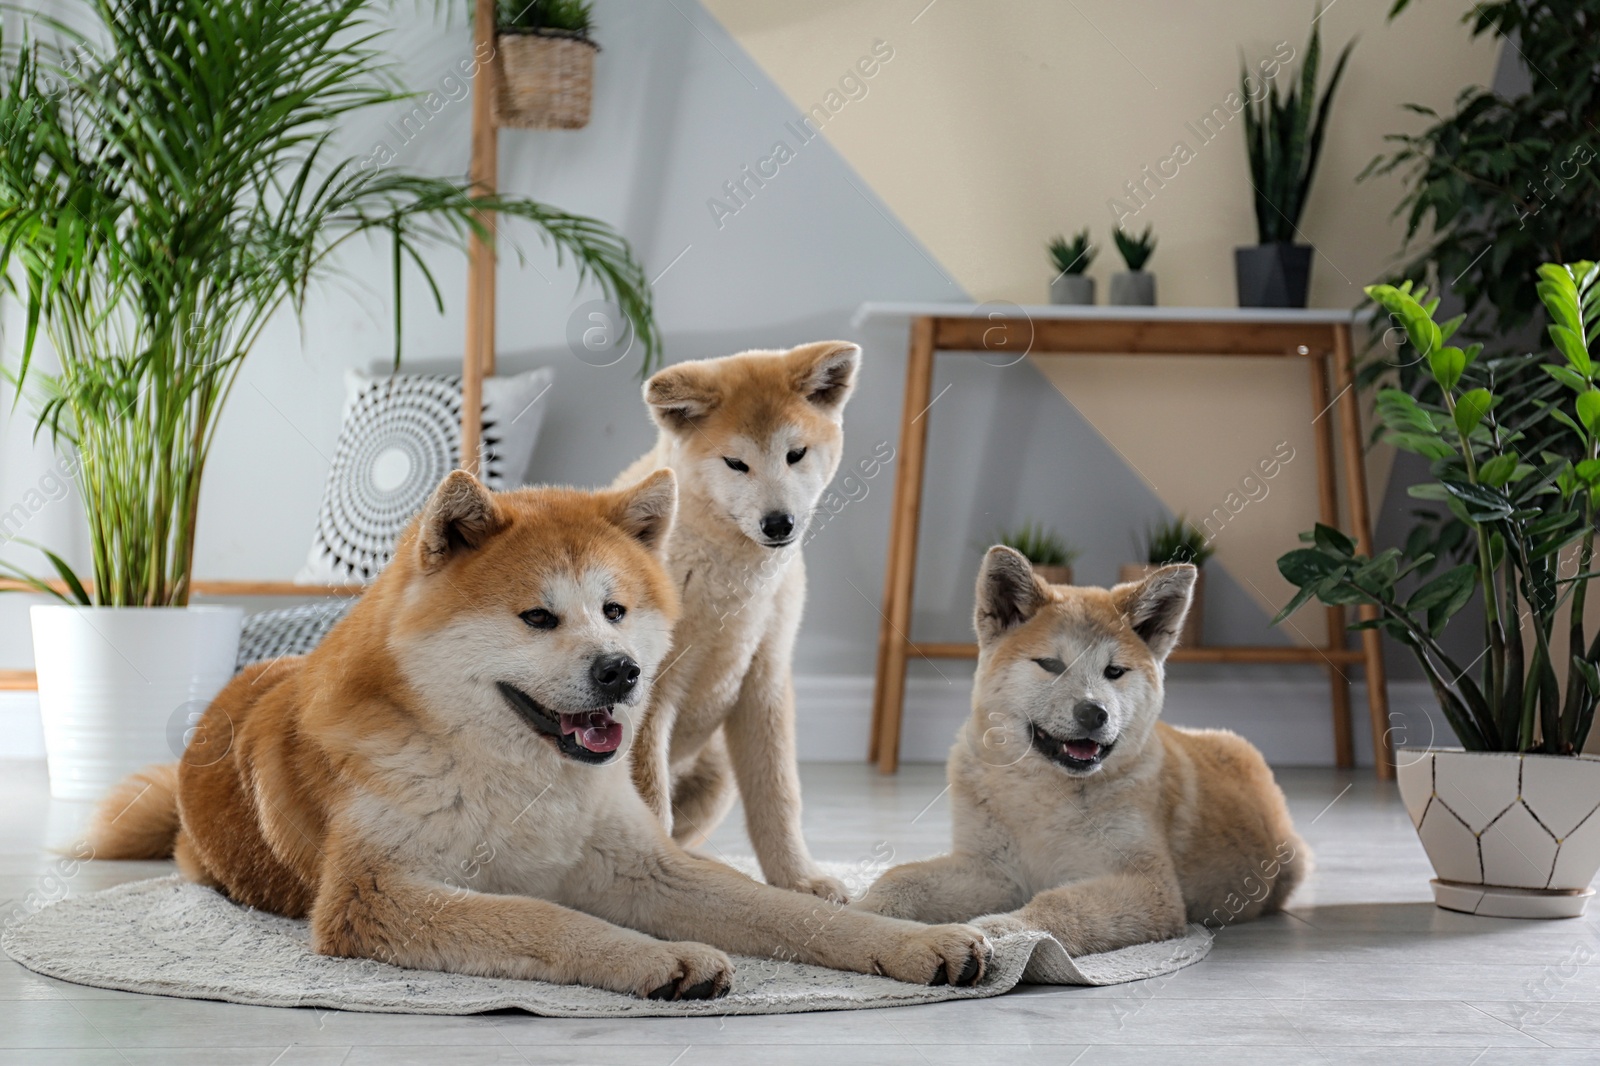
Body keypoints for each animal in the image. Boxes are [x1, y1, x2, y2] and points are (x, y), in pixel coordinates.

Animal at [87, 470, 992, 992]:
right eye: (537, 617)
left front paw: (919, 940)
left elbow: (795, 915)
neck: (513, 773)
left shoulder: (646, 865)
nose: (622, 672)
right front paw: (658, 958)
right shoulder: (376, 894)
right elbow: (543, 918)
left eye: (616, 610)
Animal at [614, 337, 864, 896]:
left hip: (718, 775)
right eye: (736, 463)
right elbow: (649, 800)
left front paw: (799, 881)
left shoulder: (764, 679)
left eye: (795, 454)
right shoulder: (648, 692)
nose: (779, 523)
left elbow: (779, 797)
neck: (732, 585)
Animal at [857, 547, 1305, 953]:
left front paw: (1000, 931)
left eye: (1114, 671)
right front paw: (864, 911)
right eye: (1051, 665)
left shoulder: (1147, 887)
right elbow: (901, 878)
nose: (1094, 713)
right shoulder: (992, 871)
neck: (1043, 792)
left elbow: (1058, 903)